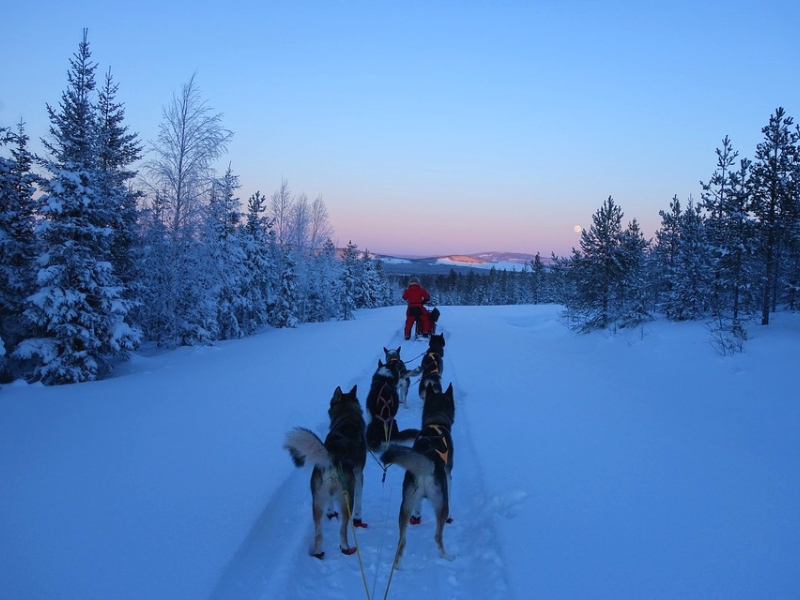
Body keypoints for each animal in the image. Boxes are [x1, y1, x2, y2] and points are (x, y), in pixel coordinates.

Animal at [282, 384, 368, 556]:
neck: (347, 417)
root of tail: (332, 457)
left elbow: (330, 504)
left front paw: (330, 513)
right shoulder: (359, 475)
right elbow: (359, 503)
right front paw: (358, 519)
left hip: (316, 504)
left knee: (319, 534)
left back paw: (318, 552)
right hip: (346, 500)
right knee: (342, 531)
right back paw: (346, 548)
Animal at [382, 382, 456, 564]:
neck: (435, 423)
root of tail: (427, 463)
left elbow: (419, 505)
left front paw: (418, 515)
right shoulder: (449, 474)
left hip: (405, 505)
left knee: (402, 541)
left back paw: (397, 564)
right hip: (441, 505)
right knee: (437, 536)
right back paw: (447, 556)